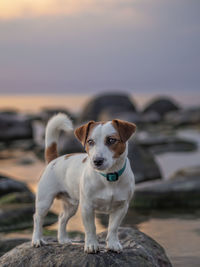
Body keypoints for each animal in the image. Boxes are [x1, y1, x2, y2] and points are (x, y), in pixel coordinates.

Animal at [31, 114, 136, 254]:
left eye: (111, 140)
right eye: (90, 142)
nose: (97, 161)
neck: (108, 177)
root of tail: (54, 159)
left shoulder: (121, 207)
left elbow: (113, 228)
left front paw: (113, 244)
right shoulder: (87, 207)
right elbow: (91, 228)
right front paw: (91, 245)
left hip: (71, 205)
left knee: (62, 218)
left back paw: (63, 239)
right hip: (44, 201)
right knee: (38, 218)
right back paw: (37, 240)